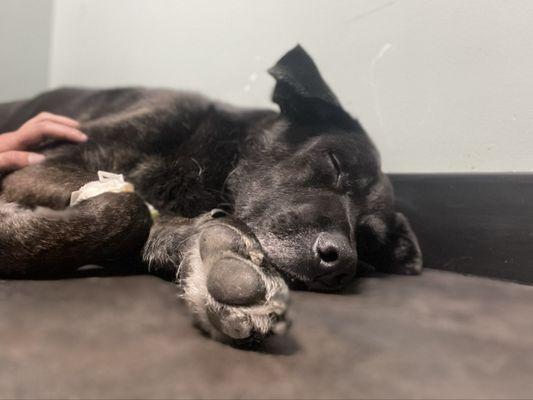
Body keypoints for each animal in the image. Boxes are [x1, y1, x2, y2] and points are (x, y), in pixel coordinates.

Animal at [1, 45, 424, 342]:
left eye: (368, 240)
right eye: (336, 162)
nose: (342, 263)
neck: (211, 156)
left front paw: (215, 256)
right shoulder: (40, 167)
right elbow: (131, 206)